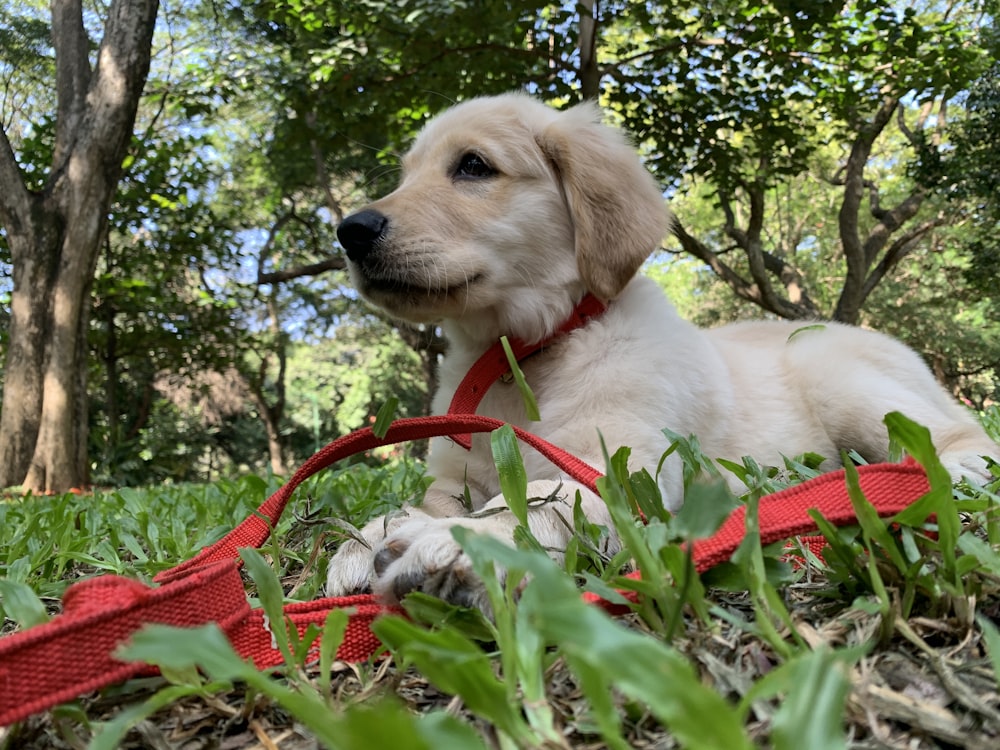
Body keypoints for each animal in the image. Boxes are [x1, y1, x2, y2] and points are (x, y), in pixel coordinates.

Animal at [326, 94, 992, 612]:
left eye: (472, 166)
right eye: (406, 175)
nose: (350, 231)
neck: (521, 351)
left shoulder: (619, 471)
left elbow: (541, 500)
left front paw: (458, 541)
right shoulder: (455, 475)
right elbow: (417, 501)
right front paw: (369, 537)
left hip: (839, 376)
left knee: (965, 438)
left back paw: (929, 478)